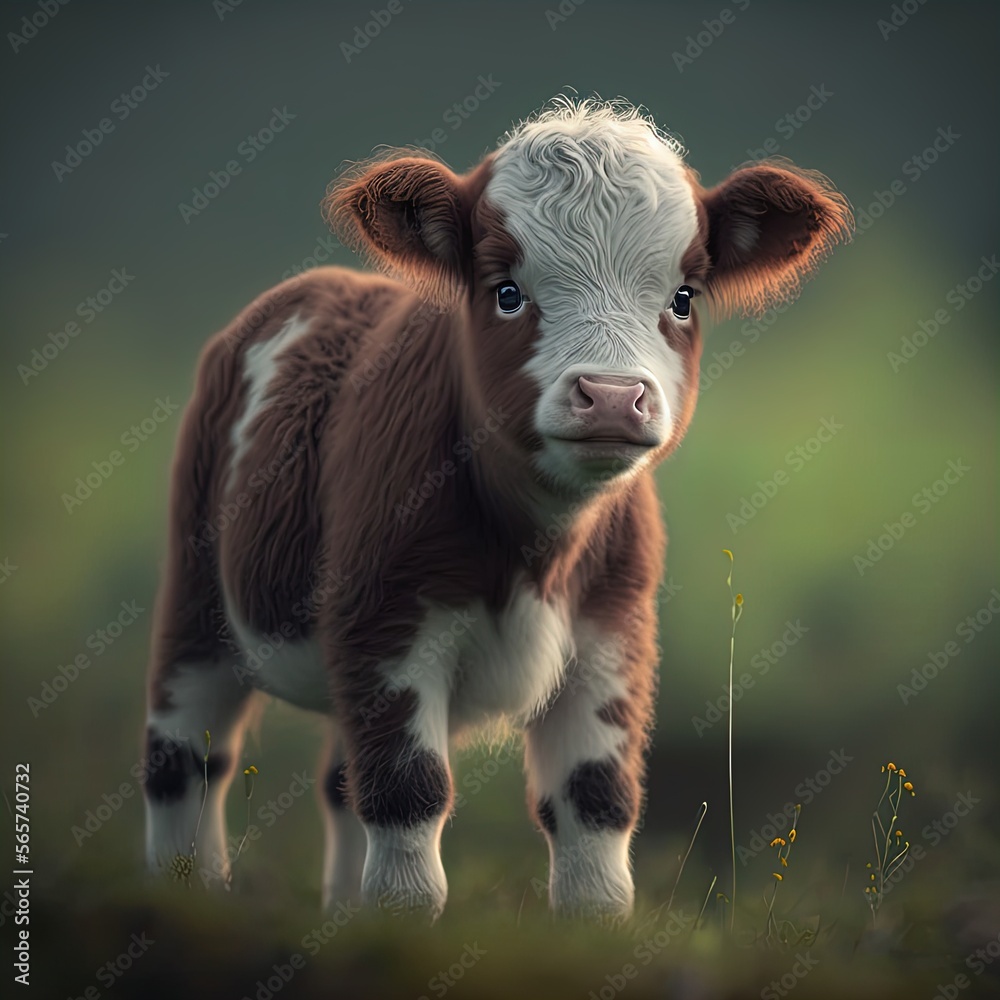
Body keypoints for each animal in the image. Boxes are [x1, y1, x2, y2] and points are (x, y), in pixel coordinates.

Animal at [142, 98, 851, 921]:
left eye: (682, 297)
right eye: (507, 291)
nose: (613, 396)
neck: (537, 547)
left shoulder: (612, 630)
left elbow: (595, 799)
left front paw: (588, 923)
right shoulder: (384, 621)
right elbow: (408, 789)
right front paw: (401, 924)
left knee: (338, 782)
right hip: (197, 590)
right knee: (184, 752)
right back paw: (187, 892)